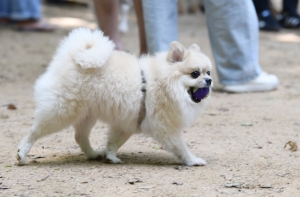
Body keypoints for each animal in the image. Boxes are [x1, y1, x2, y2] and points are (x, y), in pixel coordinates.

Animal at [17, 28, 213, 166]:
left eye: (209, 72)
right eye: (195, 73)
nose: (209, 80)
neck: (162, 82)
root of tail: (70, 57)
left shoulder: (128, 122)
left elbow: (115, 142)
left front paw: (110, 156)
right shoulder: (166, 128)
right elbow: (181, 147)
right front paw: (192, 160)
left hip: (87, 114)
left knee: (80, 136)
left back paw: (92, 154)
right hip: (61, 112)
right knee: (34, 131)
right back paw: (22, 152)